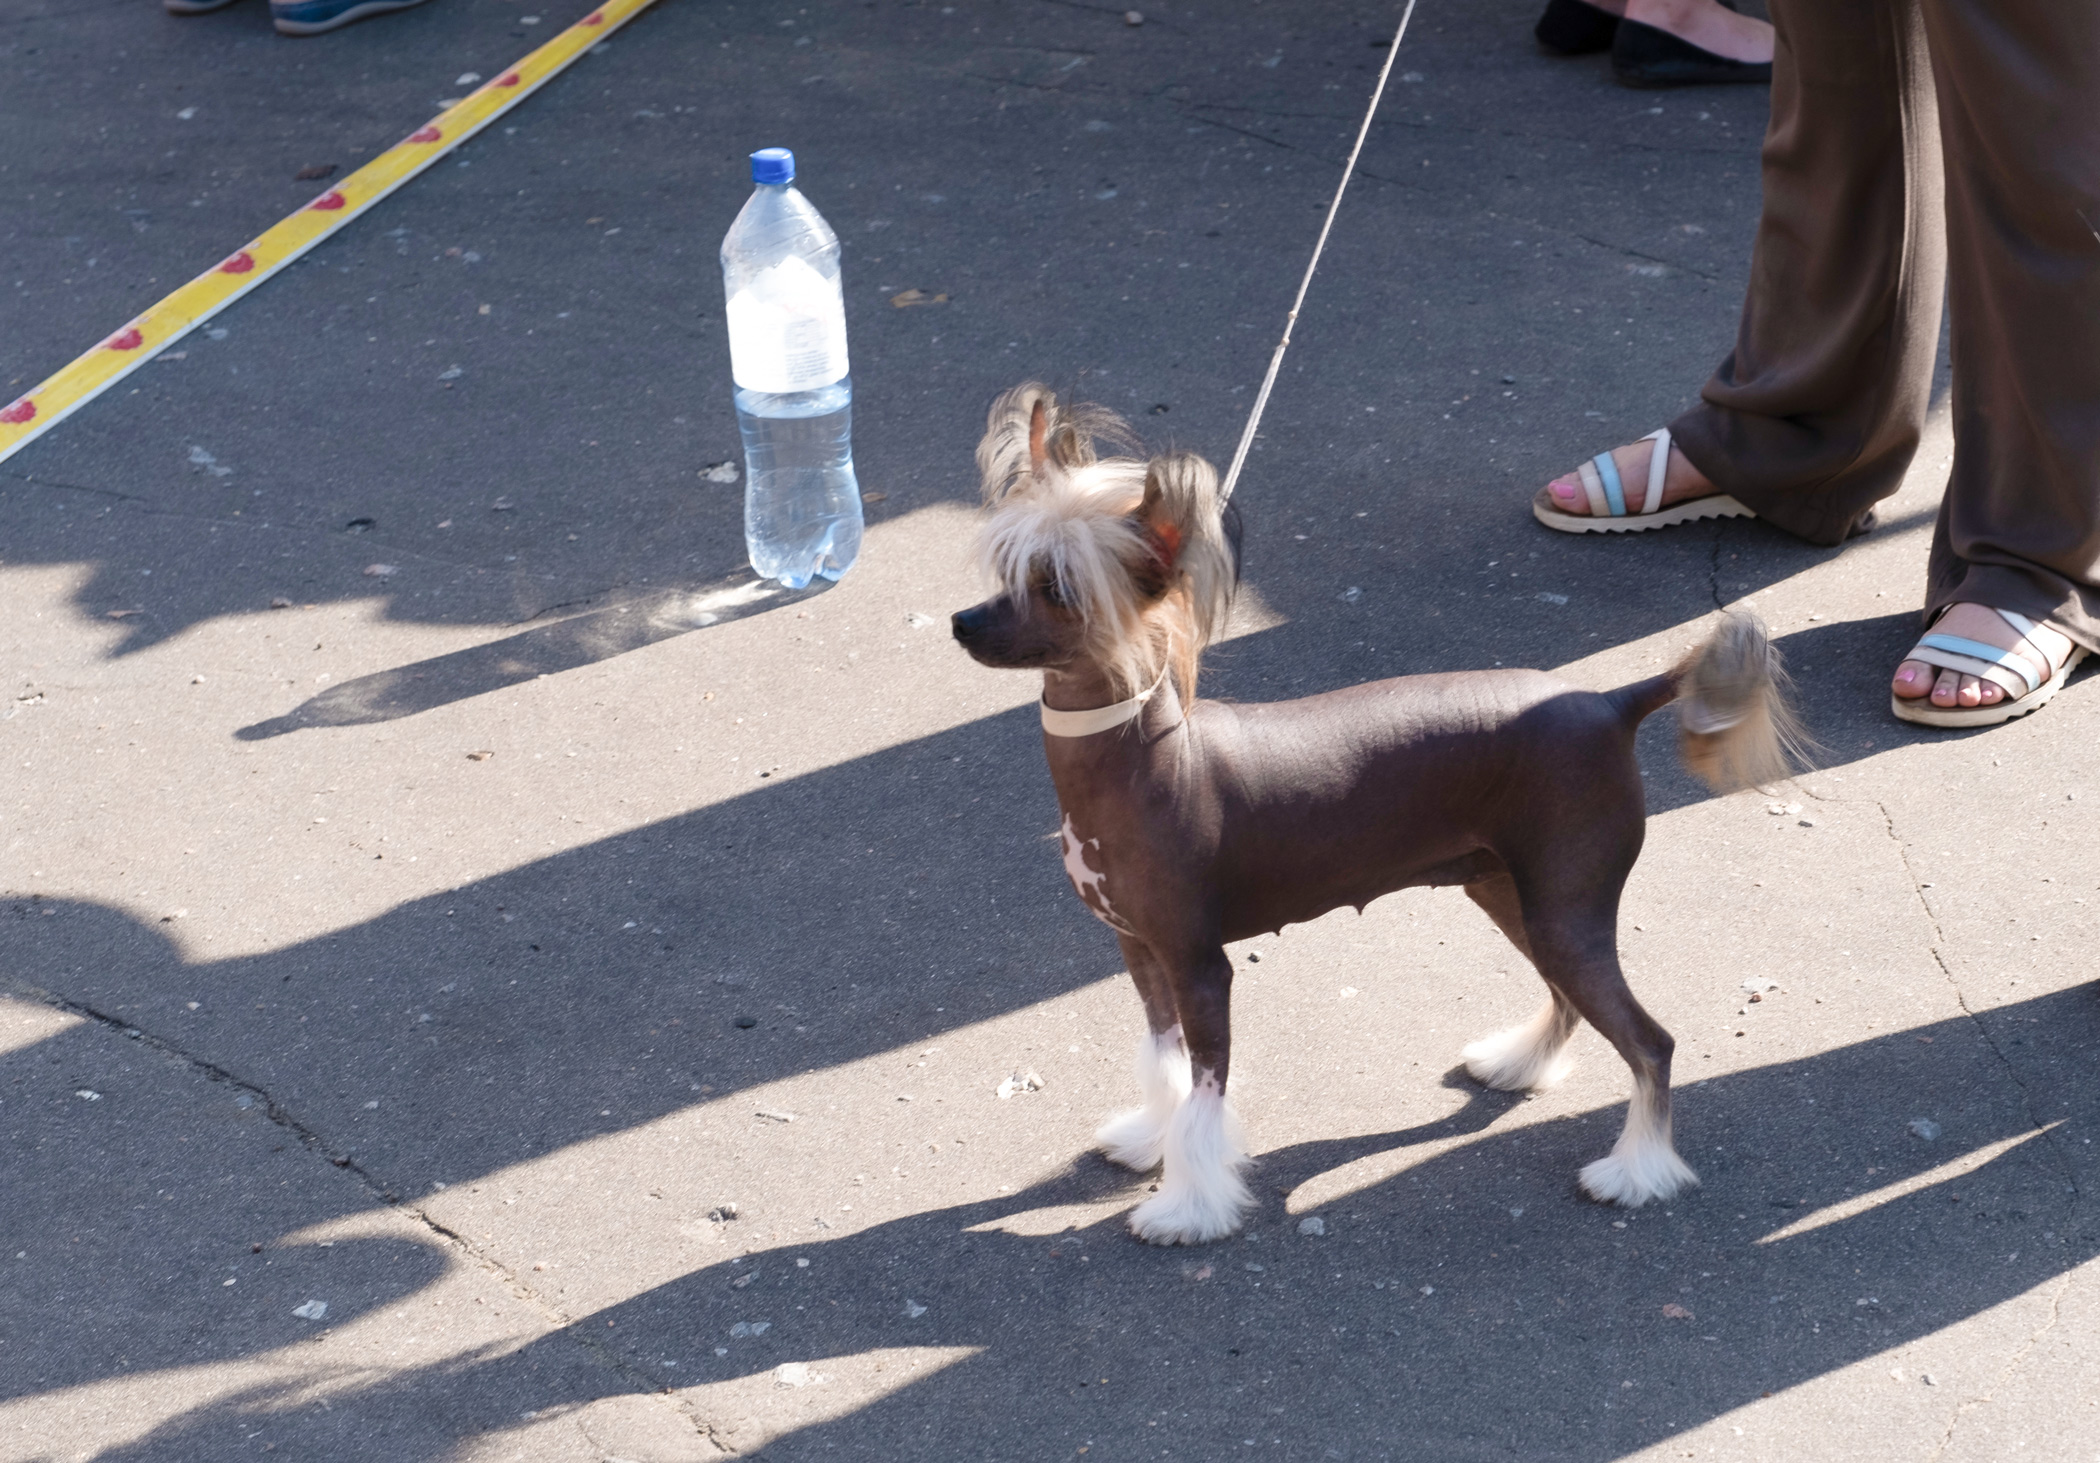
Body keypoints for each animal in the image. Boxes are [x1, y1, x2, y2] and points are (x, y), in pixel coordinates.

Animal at [953, 382, 1805, 1234]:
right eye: (1008, 568)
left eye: (1057, 588)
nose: (962, 622)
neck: (1142, 749)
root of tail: (1609, 701)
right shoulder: (1140, 950)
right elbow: (1166, 1065)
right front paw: (1148, 1142)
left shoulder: (1199, 966)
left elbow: (1204, 1092)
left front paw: (1190, 1206)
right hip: (1512, 892)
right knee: (1570, 996)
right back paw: (1520, 1063)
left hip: (1565, 901)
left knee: (1650, 1042)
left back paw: (1635, 1170)